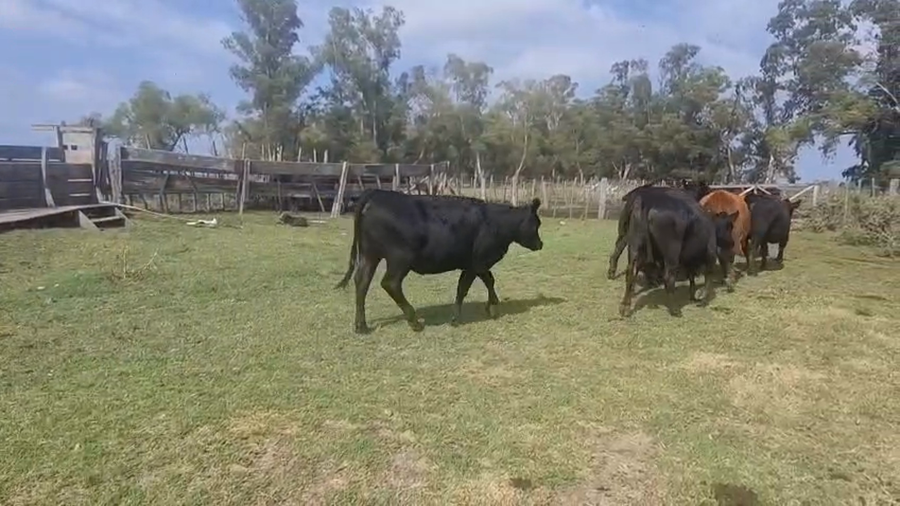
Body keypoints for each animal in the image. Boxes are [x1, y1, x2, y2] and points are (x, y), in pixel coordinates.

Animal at [335, 189, 544, 334]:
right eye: (537, 223)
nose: (540, 244)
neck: (495, 222)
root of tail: (376, 193)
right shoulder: (477, 261)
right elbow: (466, 287)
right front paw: (457, 318)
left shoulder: (475, 263)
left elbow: (487, 281)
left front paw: (491, 307)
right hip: (399, 258)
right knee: (390, 283)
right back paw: (415, 322)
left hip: (370, 255)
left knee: (362, 282)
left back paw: (361, 326)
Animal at [617, 188, 738, 317]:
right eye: (730, 226)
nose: (732, 242)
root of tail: (649, 200)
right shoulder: (710, 253)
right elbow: (708, 276)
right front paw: (703, 299)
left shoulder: (689, 258)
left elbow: (691, 276)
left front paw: (693, 296)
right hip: (672, 252)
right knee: (668, 277)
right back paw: (675, 309)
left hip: (635, 245)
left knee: (631, 272)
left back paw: (624, 307)